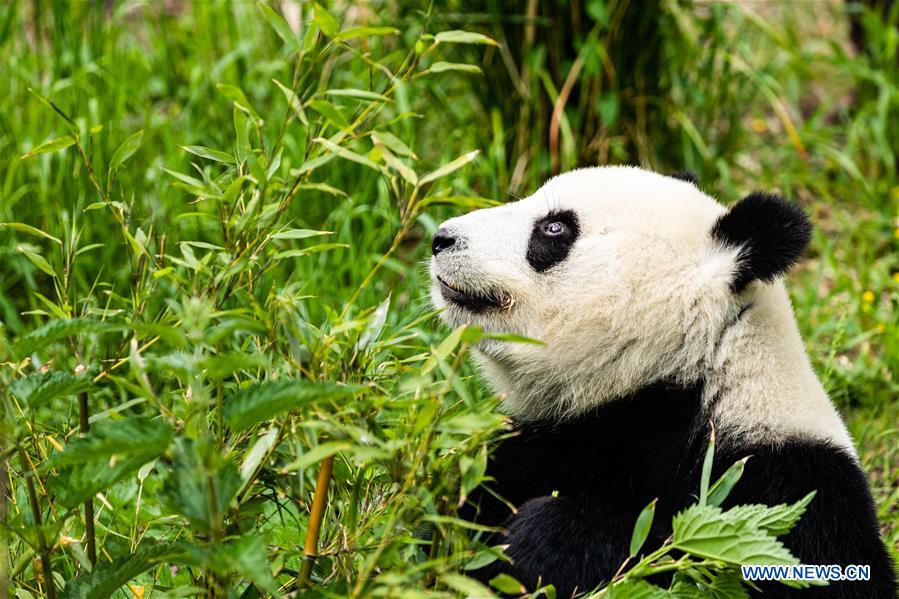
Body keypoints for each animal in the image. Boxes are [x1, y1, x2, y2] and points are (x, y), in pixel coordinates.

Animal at [428, 168, 892, 599]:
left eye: (554, 228)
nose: (441, 238)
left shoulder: (788, 491)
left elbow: (682, 561)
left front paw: (538, 541)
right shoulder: (551, 445)